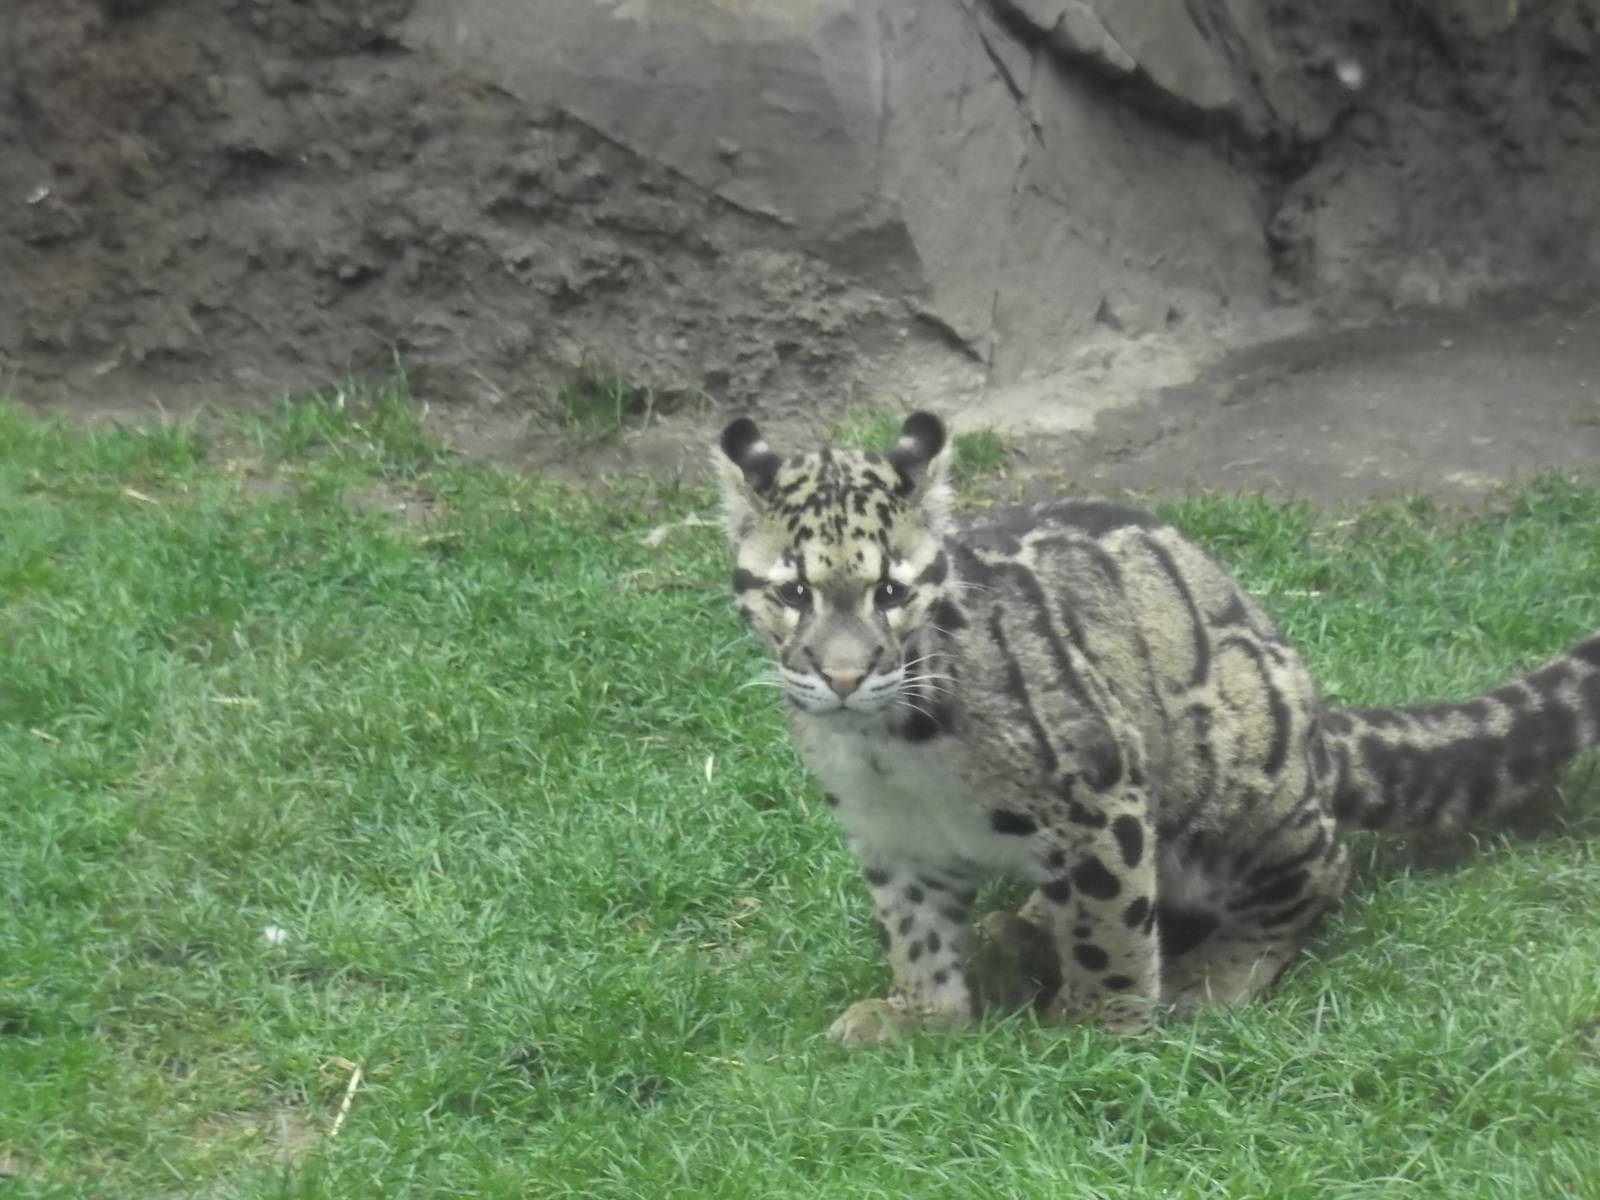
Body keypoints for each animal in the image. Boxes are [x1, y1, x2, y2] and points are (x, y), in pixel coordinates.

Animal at [714, 410, 1600, 1045]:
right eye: (793, 593)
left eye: (892, 593)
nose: (842, 676)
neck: (886, 750)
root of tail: (1320, 733)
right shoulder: (892, 835)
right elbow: (915, 930)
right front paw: (920, 1014)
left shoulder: (1098, 794)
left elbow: (1107, 925)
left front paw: (1095, 1029)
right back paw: (1016, 927)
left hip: (1243, 798)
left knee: (1321, 873)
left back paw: (1211, 974)